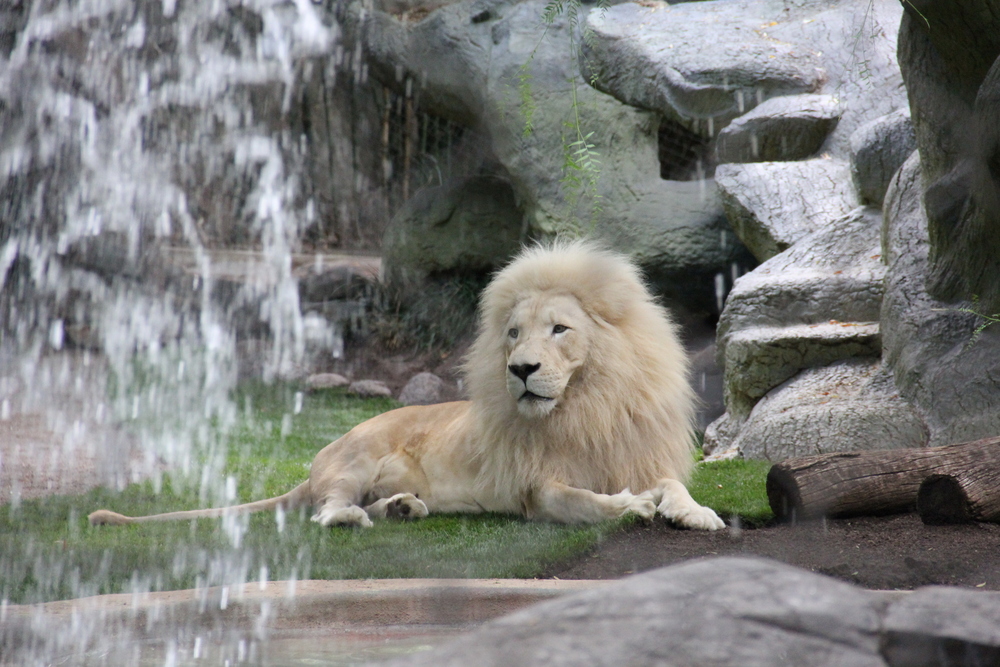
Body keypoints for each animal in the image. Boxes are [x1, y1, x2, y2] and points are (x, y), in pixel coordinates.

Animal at [90, 243, 724, 528]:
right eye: (513, 334)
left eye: (559, 330)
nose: (520, 369)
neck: (586, 406)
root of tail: (315, 465)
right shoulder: (532, 490)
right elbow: (580, 500)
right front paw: (630, 505)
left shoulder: (633, 452)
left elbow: (673, 484)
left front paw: (697, 513)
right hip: (354, 460)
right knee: (326, 512)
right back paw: (358, 517)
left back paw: (401, 506)